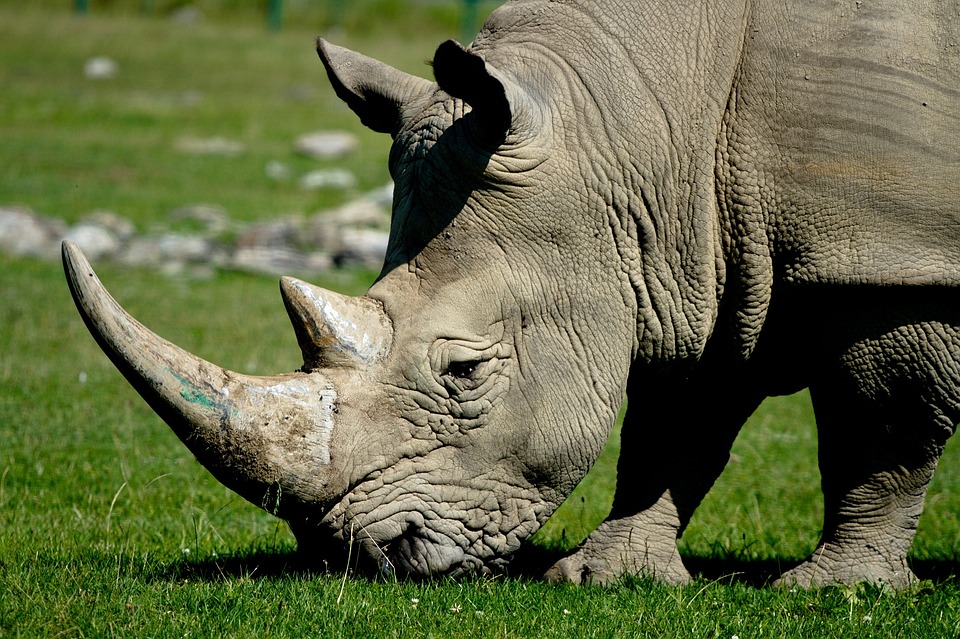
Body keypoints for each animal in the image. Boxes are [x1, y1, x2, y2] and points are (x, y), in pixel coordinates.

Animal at [64, 0, 960, 588]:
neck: (639, 124)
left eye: (462, 371)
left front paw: (838, 588)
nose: (360, 557)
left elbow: (883, 428)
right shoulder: (693, 262)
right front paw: (609, 577)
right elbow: (675, 426)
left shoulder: (892, 261)